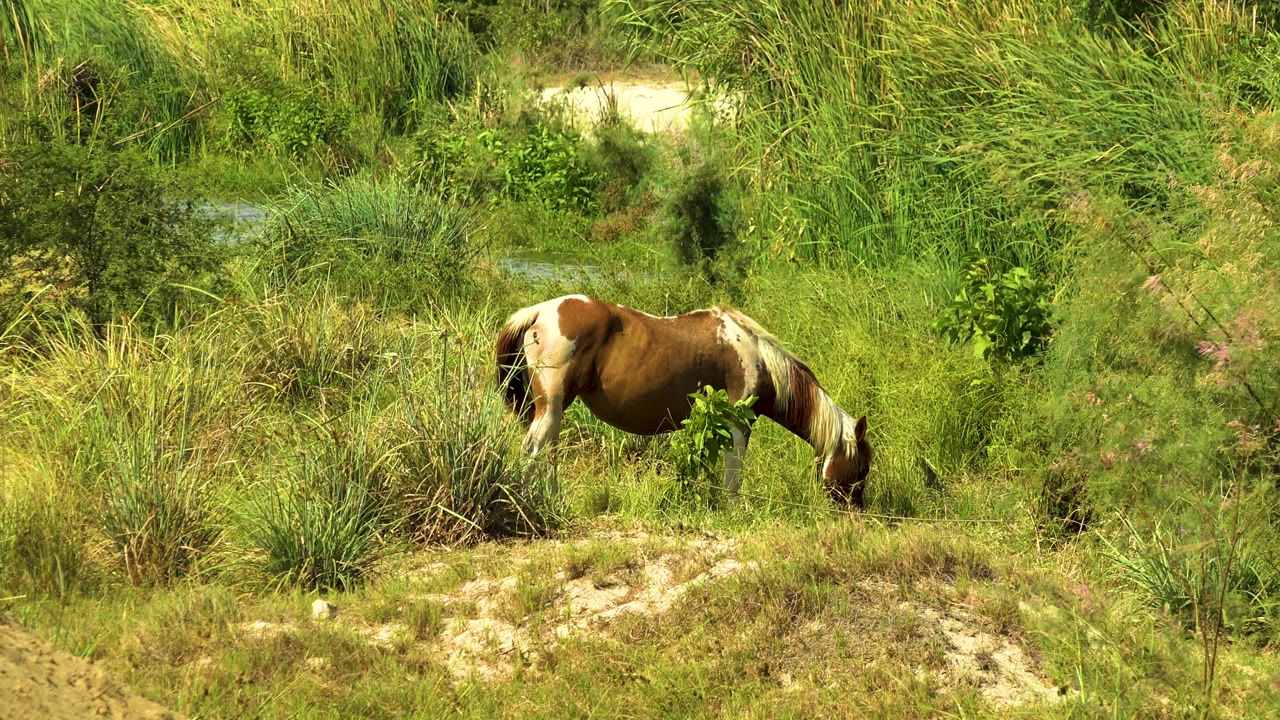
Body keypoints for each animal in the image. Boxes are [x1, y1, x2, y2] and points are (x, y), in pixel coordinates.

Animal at [494, 294, 872, 508]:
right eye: (863, 468)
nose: (856, 510)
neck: (757, 356)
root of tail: (540, 312)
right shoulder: (738, 422)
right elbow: (734, 474)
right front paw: (735, 510)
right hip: (551, 407)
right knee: (534, 450)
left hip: (551, 411)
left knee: (547, 453)